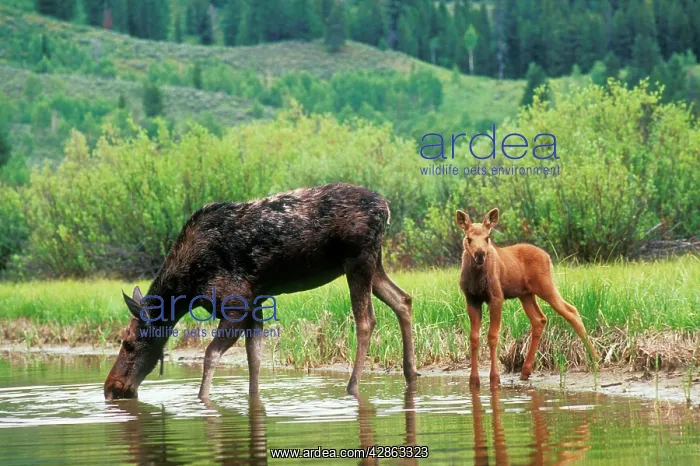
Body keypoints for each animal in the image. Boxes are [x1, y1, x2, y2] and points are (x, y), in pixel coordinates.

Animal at [104, 183, 418, 400]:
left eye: (128, 342)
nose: (110, 387)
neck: (186, 288)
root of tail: (386, 207)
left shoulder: (237, 304)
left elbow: (210, 354)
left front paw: (202, 400)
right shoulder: (255, 305)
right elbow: (254, 360)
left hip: (358, 261)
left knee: (366, 320)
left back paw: (353, 386)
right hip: (374, 263)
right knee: (403, 299)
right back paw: (410, 373)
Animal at [455, 208, 599, 389]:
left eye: (487, 238)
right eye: (469, 238)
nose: (480, 255)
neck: (476, 277)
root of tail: (548, 256)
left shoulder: (497, 297)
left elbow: (493, 336)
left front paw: (495, 378)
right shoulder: (472, 299)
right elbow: (474, 337)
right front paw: (473, 381)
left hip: (545, 286)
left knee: (571, 310)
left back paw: (596, 358)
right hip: (526, 294)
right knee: (540, 319)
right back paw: (525, 371)